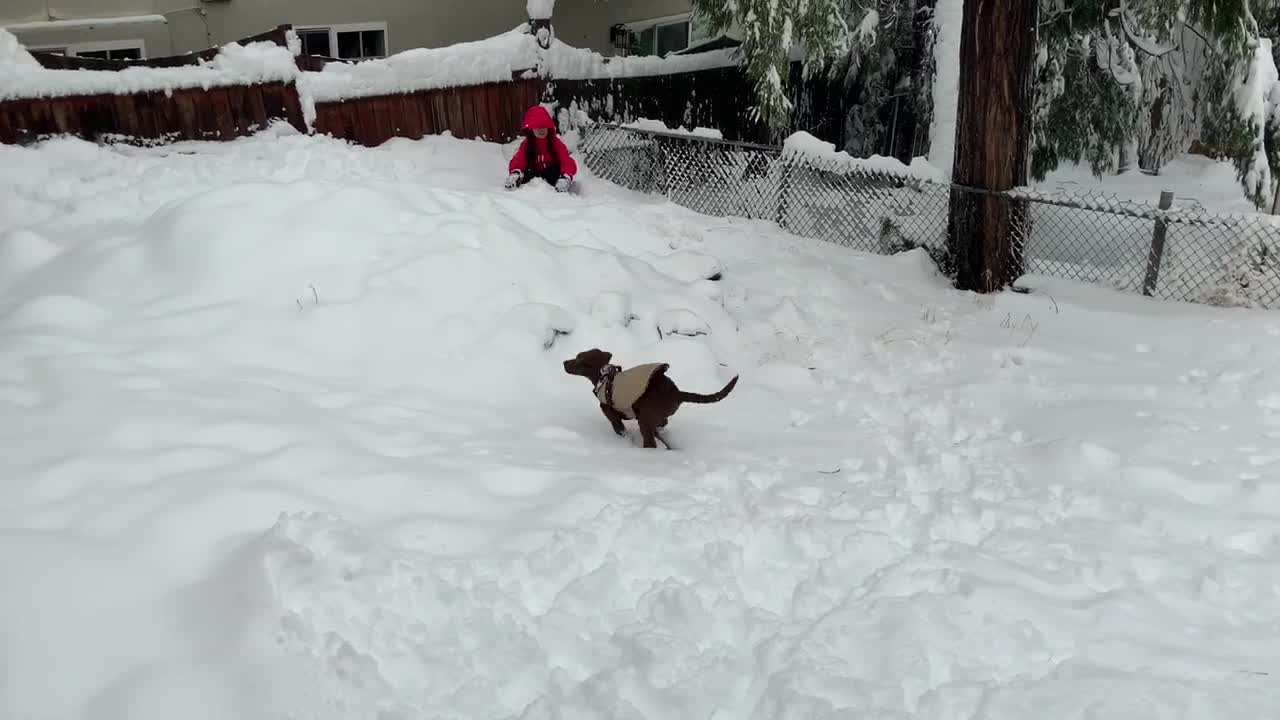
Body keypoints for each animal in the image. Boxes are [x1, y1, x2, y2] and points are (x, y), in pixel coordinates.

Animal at [563, 345, 742, 445]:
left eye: (577, 358)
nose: (564, 362)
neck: (604, 376)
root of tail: (677, 393)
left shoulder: (612, 416)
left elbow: (620, 429)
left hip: (645, 420)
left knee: (651, 441)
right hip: (653, 418)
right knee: (662, 425)